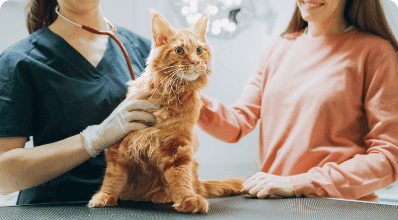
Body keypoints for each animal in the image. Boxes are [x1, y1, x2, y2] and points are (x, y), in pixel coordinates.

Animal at [89, 9, 246, 214]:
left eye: (199, 50)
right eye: (179, 50)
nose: (195, 62)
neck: (172, 93)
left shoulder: (178, 144)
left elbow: (180, 176)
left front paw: (187, 199)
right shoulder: (120, 144)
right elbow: (112, 177)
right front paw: (104, 196)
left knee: (188, 183)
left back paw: (163, 195)